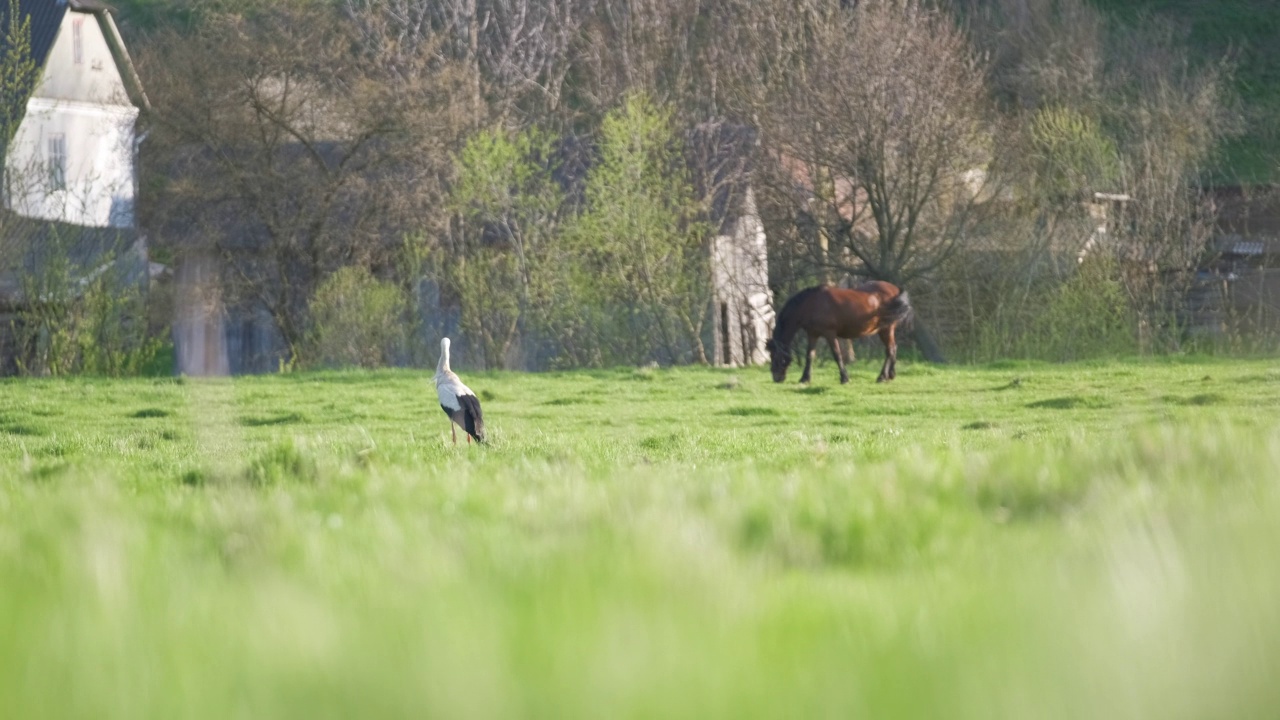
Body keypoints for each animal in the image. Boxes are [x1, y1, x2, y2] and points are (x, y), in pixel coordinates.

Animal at [762, 280, 916, 381]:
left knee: (890, 350)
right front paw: (805, 378)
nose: (776, 377)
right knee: (893, 348)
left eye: (775, 355)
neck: (811, 304)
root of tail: (896, 290)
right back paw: (891, 374)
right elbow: (810, 355)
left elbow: (837, 355)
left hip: (886, 329)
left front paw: (844, 378)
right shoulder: (813, 334)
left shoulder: (830, 334)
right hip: (886, 329)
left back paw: (882, 376)